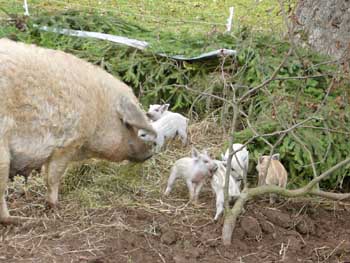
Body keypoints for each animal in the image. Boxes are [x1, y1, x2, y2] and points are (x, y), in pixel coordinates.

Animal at [0, 39, 156, 225]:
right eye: (128, 124)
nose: (150, 152)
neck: (99, 110)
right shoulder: (67, 143)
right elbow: (53, 177)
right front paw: (55, 207)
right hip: (3, 154)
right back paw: (18, 220)